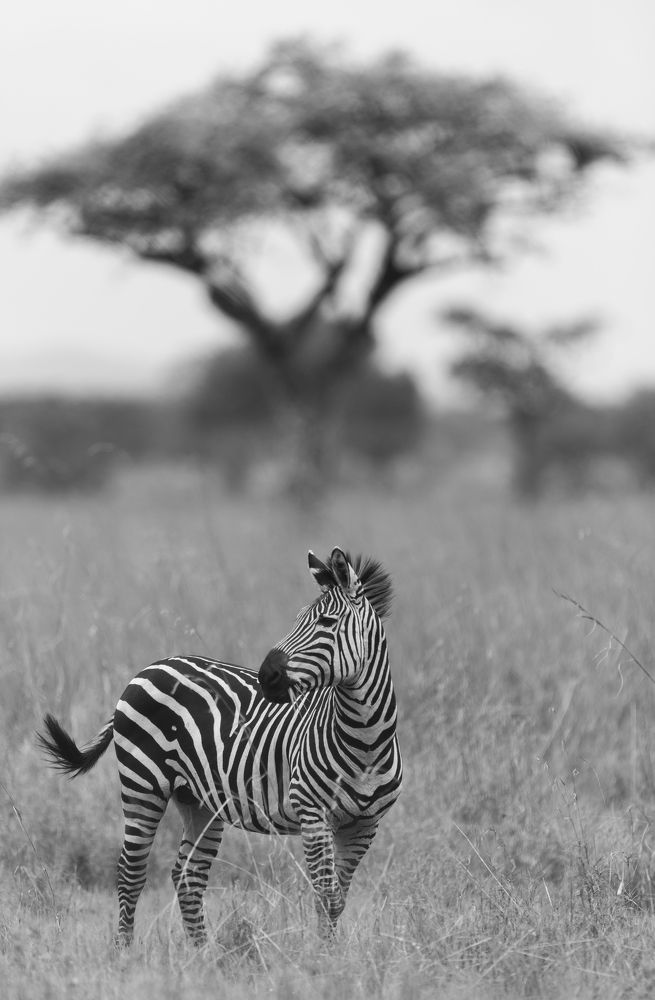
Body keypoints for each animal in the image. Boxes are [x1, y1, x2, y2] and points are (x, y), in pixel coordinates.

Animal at [37, 547, 402, 945]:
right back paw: (124, 951)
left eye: (327, 622)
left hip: (198, 801)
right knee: (131, 874)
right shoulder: (313, 812)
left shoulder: (364, 825)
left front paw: (331, 952)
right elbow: (325, 895)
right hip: (142, 785)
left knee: (188, 876)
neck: (365, 738)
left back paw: (203, 954)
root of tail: (149, 668)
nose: (266, 676)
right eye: (297, 621)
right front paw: (323, 955)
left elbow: (337, 899)